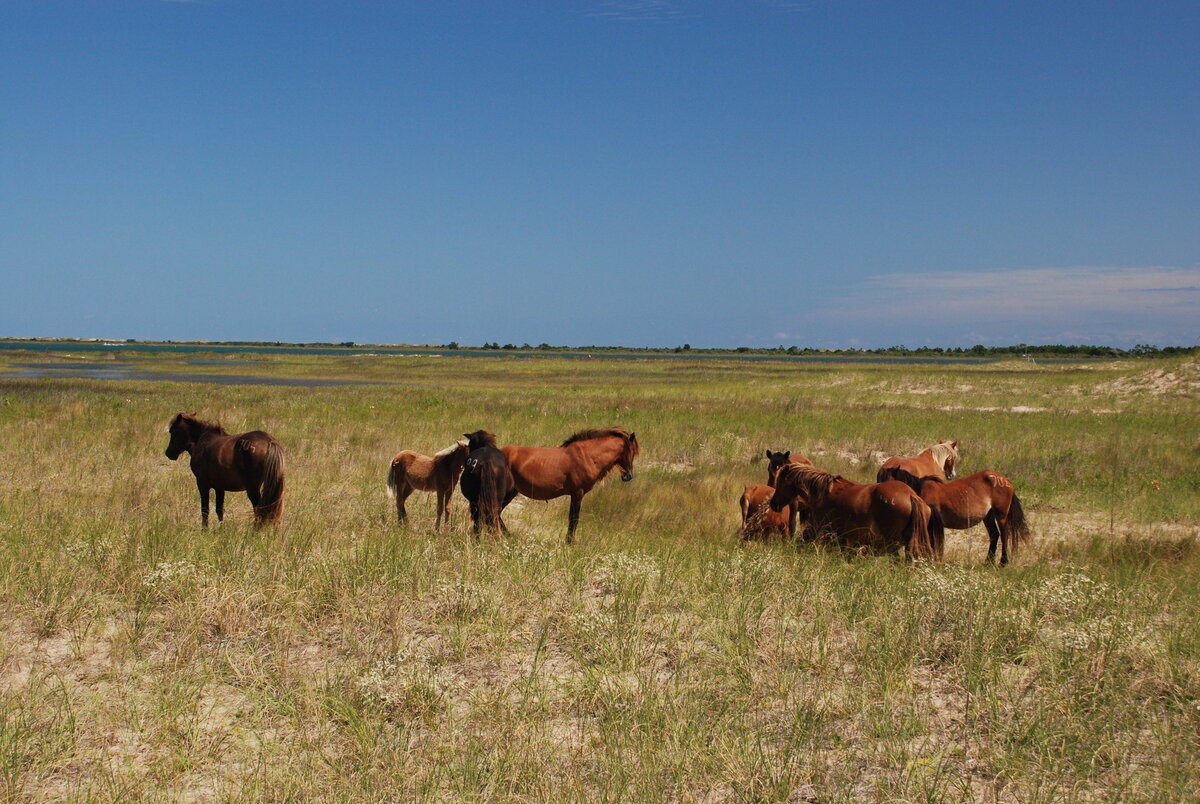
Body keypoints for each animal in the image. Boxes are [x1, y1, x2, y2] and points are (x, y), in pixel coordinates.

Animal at [504, 427, 643, 547]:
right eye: (632, 452)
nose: (628, 476)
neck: (588, 456)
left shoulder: (575, 494)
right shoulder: (577, 493)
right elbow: (574, 518)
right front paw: (570, 542)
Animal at [888, 472, 1027, 566]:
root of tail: (1006, 481)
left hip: (1001, 516)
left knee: (1004, 536)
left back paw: (1003, 563)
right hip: (988, 516)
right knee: (994, 535)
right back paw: (988, 562)